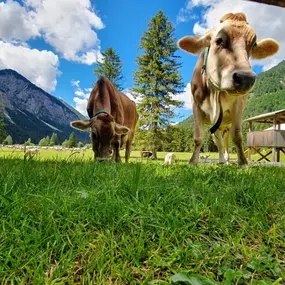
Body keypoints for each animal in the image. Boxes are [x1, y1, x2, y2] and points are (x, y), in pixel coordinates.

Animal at [178, 12, 278, 165]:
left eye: (253, 45)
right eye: (219, 40)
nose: (245, 78)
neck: (214, 92)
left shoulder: (238, 105)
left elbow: (237, 136)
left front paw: (243, 163)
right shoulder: (196, 105)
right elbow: (198, 137)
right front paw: (192, 162)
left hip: (225, 123)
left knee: (224, 140)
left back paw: (225, 159)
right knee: (218, 140)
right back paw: (221, 160)